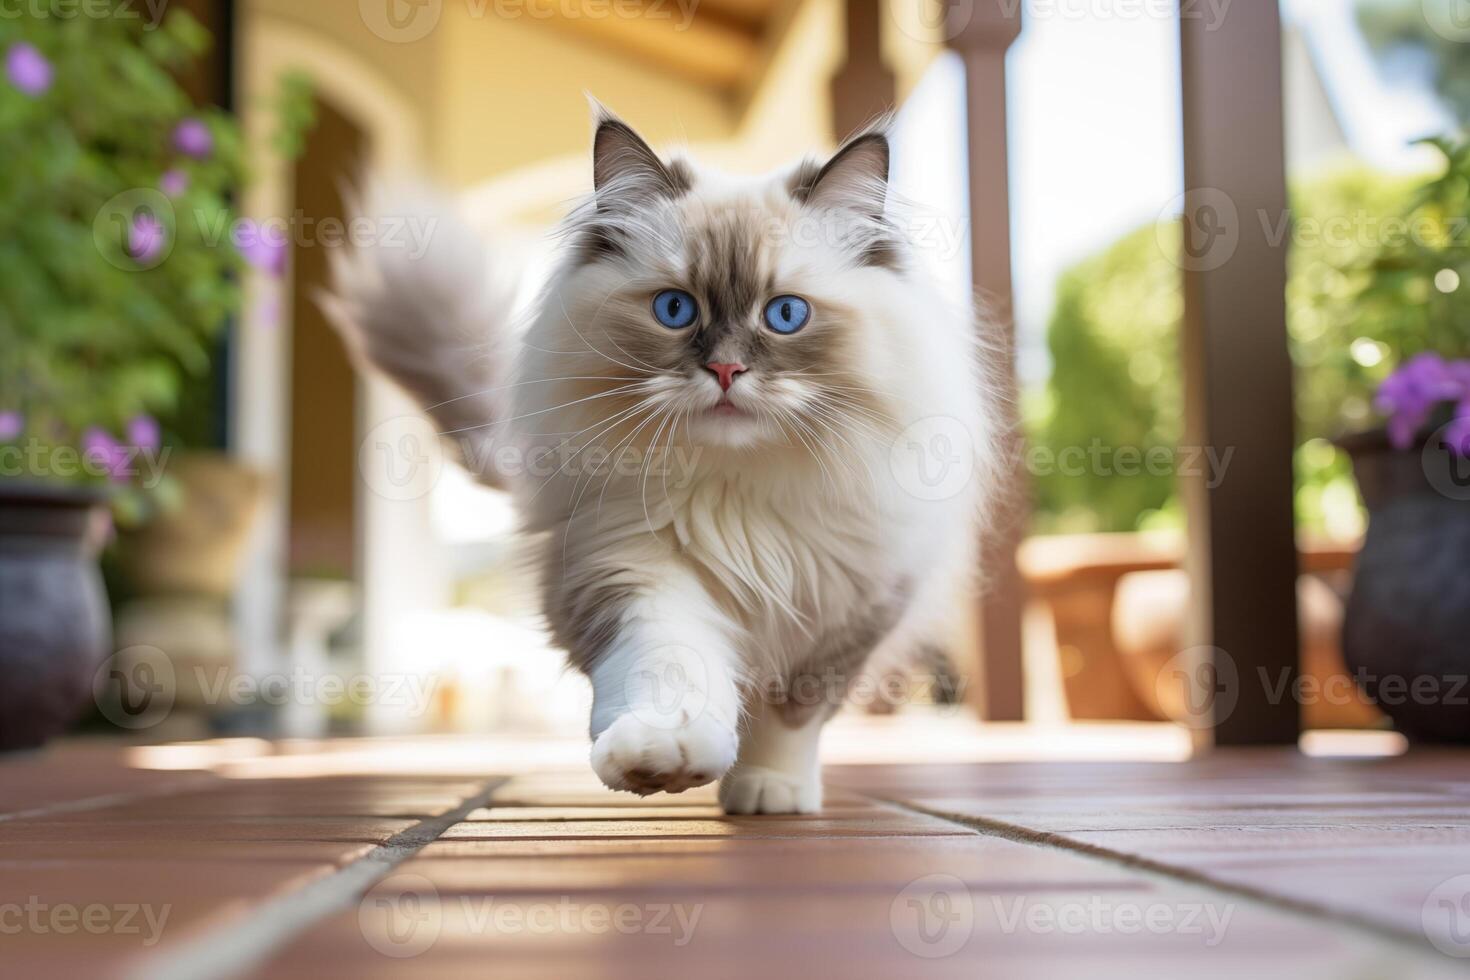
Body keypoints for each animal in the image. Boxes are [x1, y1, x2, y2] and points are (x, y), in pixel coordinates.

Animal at [330, 107, 999, 816]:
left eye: (785, 314)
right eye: (675, 309)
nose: (726, 371)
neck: (738, 493)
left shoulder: (852, 610)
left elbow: (790, 712)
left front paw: (770, 790)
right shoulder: (630, 571)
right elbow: (673, 669)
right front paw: (663, 755)